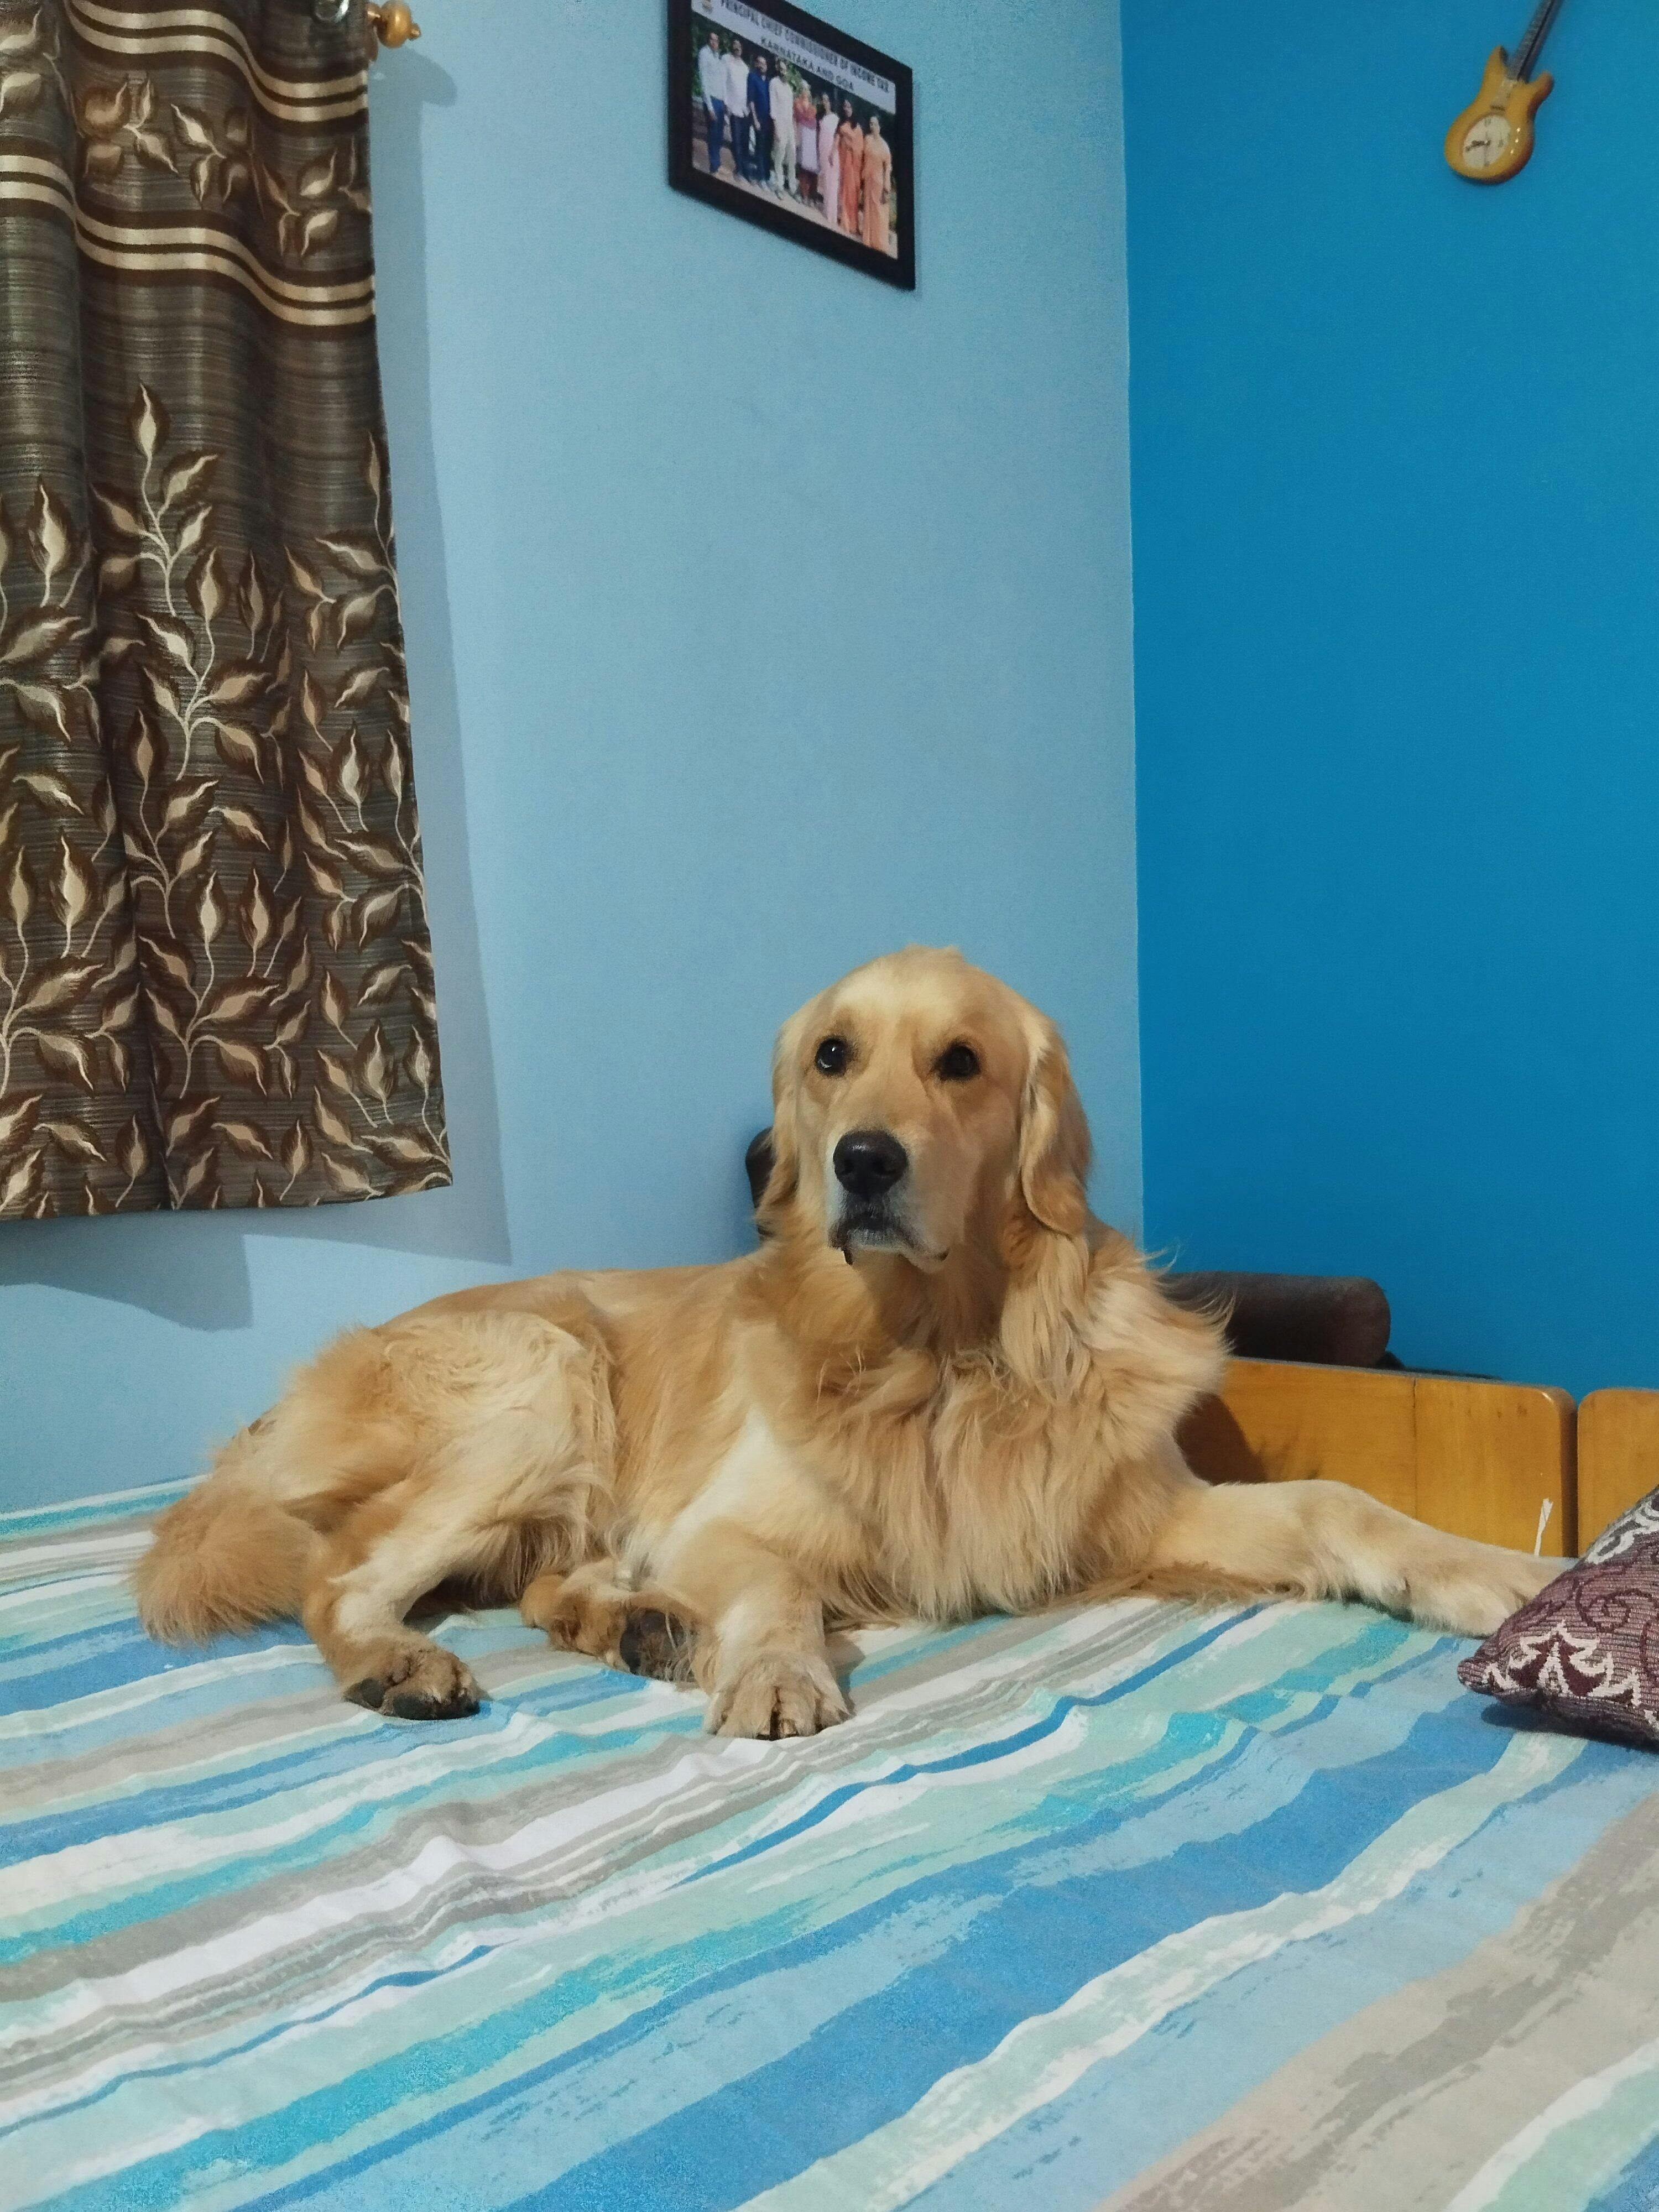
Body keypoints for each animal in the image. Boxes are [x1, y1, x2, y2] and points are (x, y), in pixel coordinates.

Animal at [134, 947, 1558, 1737]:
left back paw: (632, 1624)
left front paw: (1499, 1573)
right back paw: (409, 1660)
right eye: (832, 1054)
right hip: (545, 1370)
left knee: (537, 1582)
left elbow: (1341, 1501)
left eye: (960, 1061)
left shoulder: (1123, 1513)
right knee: (341, 1580)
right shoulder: (719, 1522)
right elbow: (776, 1587)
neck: (944, 1353)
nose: (862, 1162)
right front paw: (773, 1672)